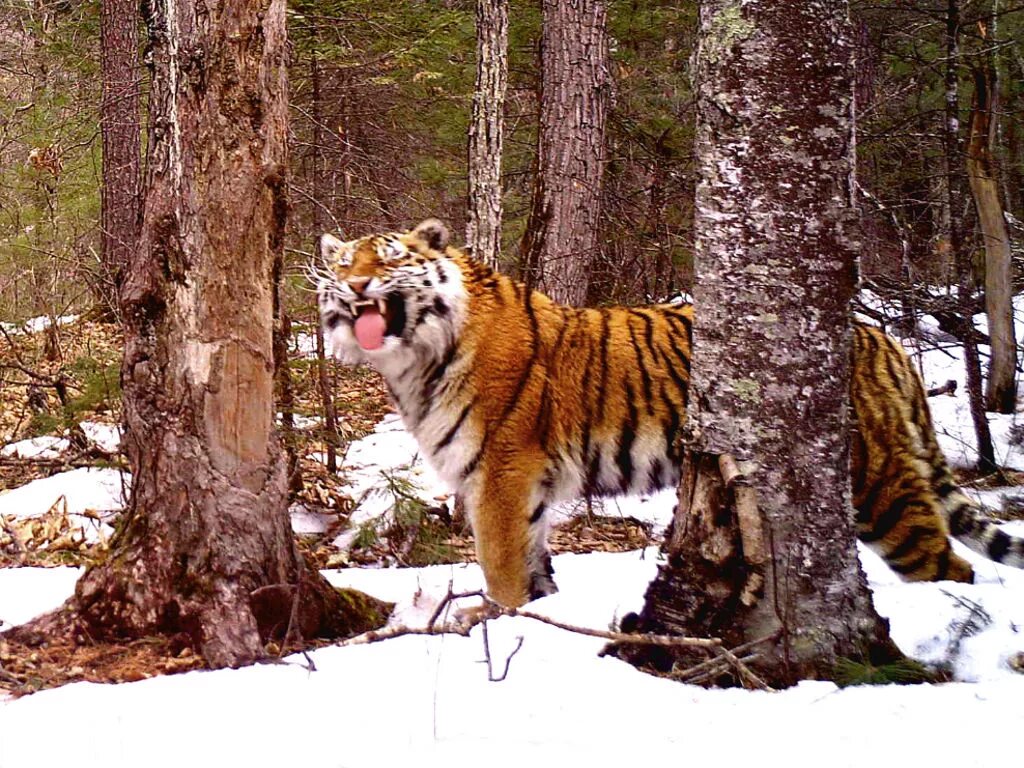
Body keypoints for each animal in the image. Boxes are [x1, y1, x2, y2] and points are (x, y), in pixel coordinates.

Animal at [315, 219, 1024, 610]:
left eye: (388, 258)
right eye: (343, 262)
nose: (354, 285)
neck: (414, 358)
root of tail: (886, 339)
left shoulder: (502, 476)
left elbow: (503, 570)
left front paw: (503, 624)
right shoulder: (525, 491)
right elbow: (535, 566)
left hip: (876, 485)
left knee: (951, 569)